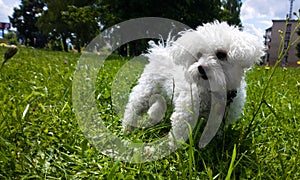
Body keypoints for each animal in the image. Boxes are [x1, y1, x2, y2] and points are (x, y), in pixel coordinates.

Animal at [120, 21, 264, 148]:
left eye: (221, 54)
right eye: (198, 55)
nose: (201, 68)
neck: (211, 92)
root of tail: (160, 53)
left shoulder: (218, 119)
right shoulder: (186, 111)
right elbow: (179, 132)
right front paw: (173, 147)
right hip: (146, 90)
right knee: (133, 107)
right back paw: (127, 129)